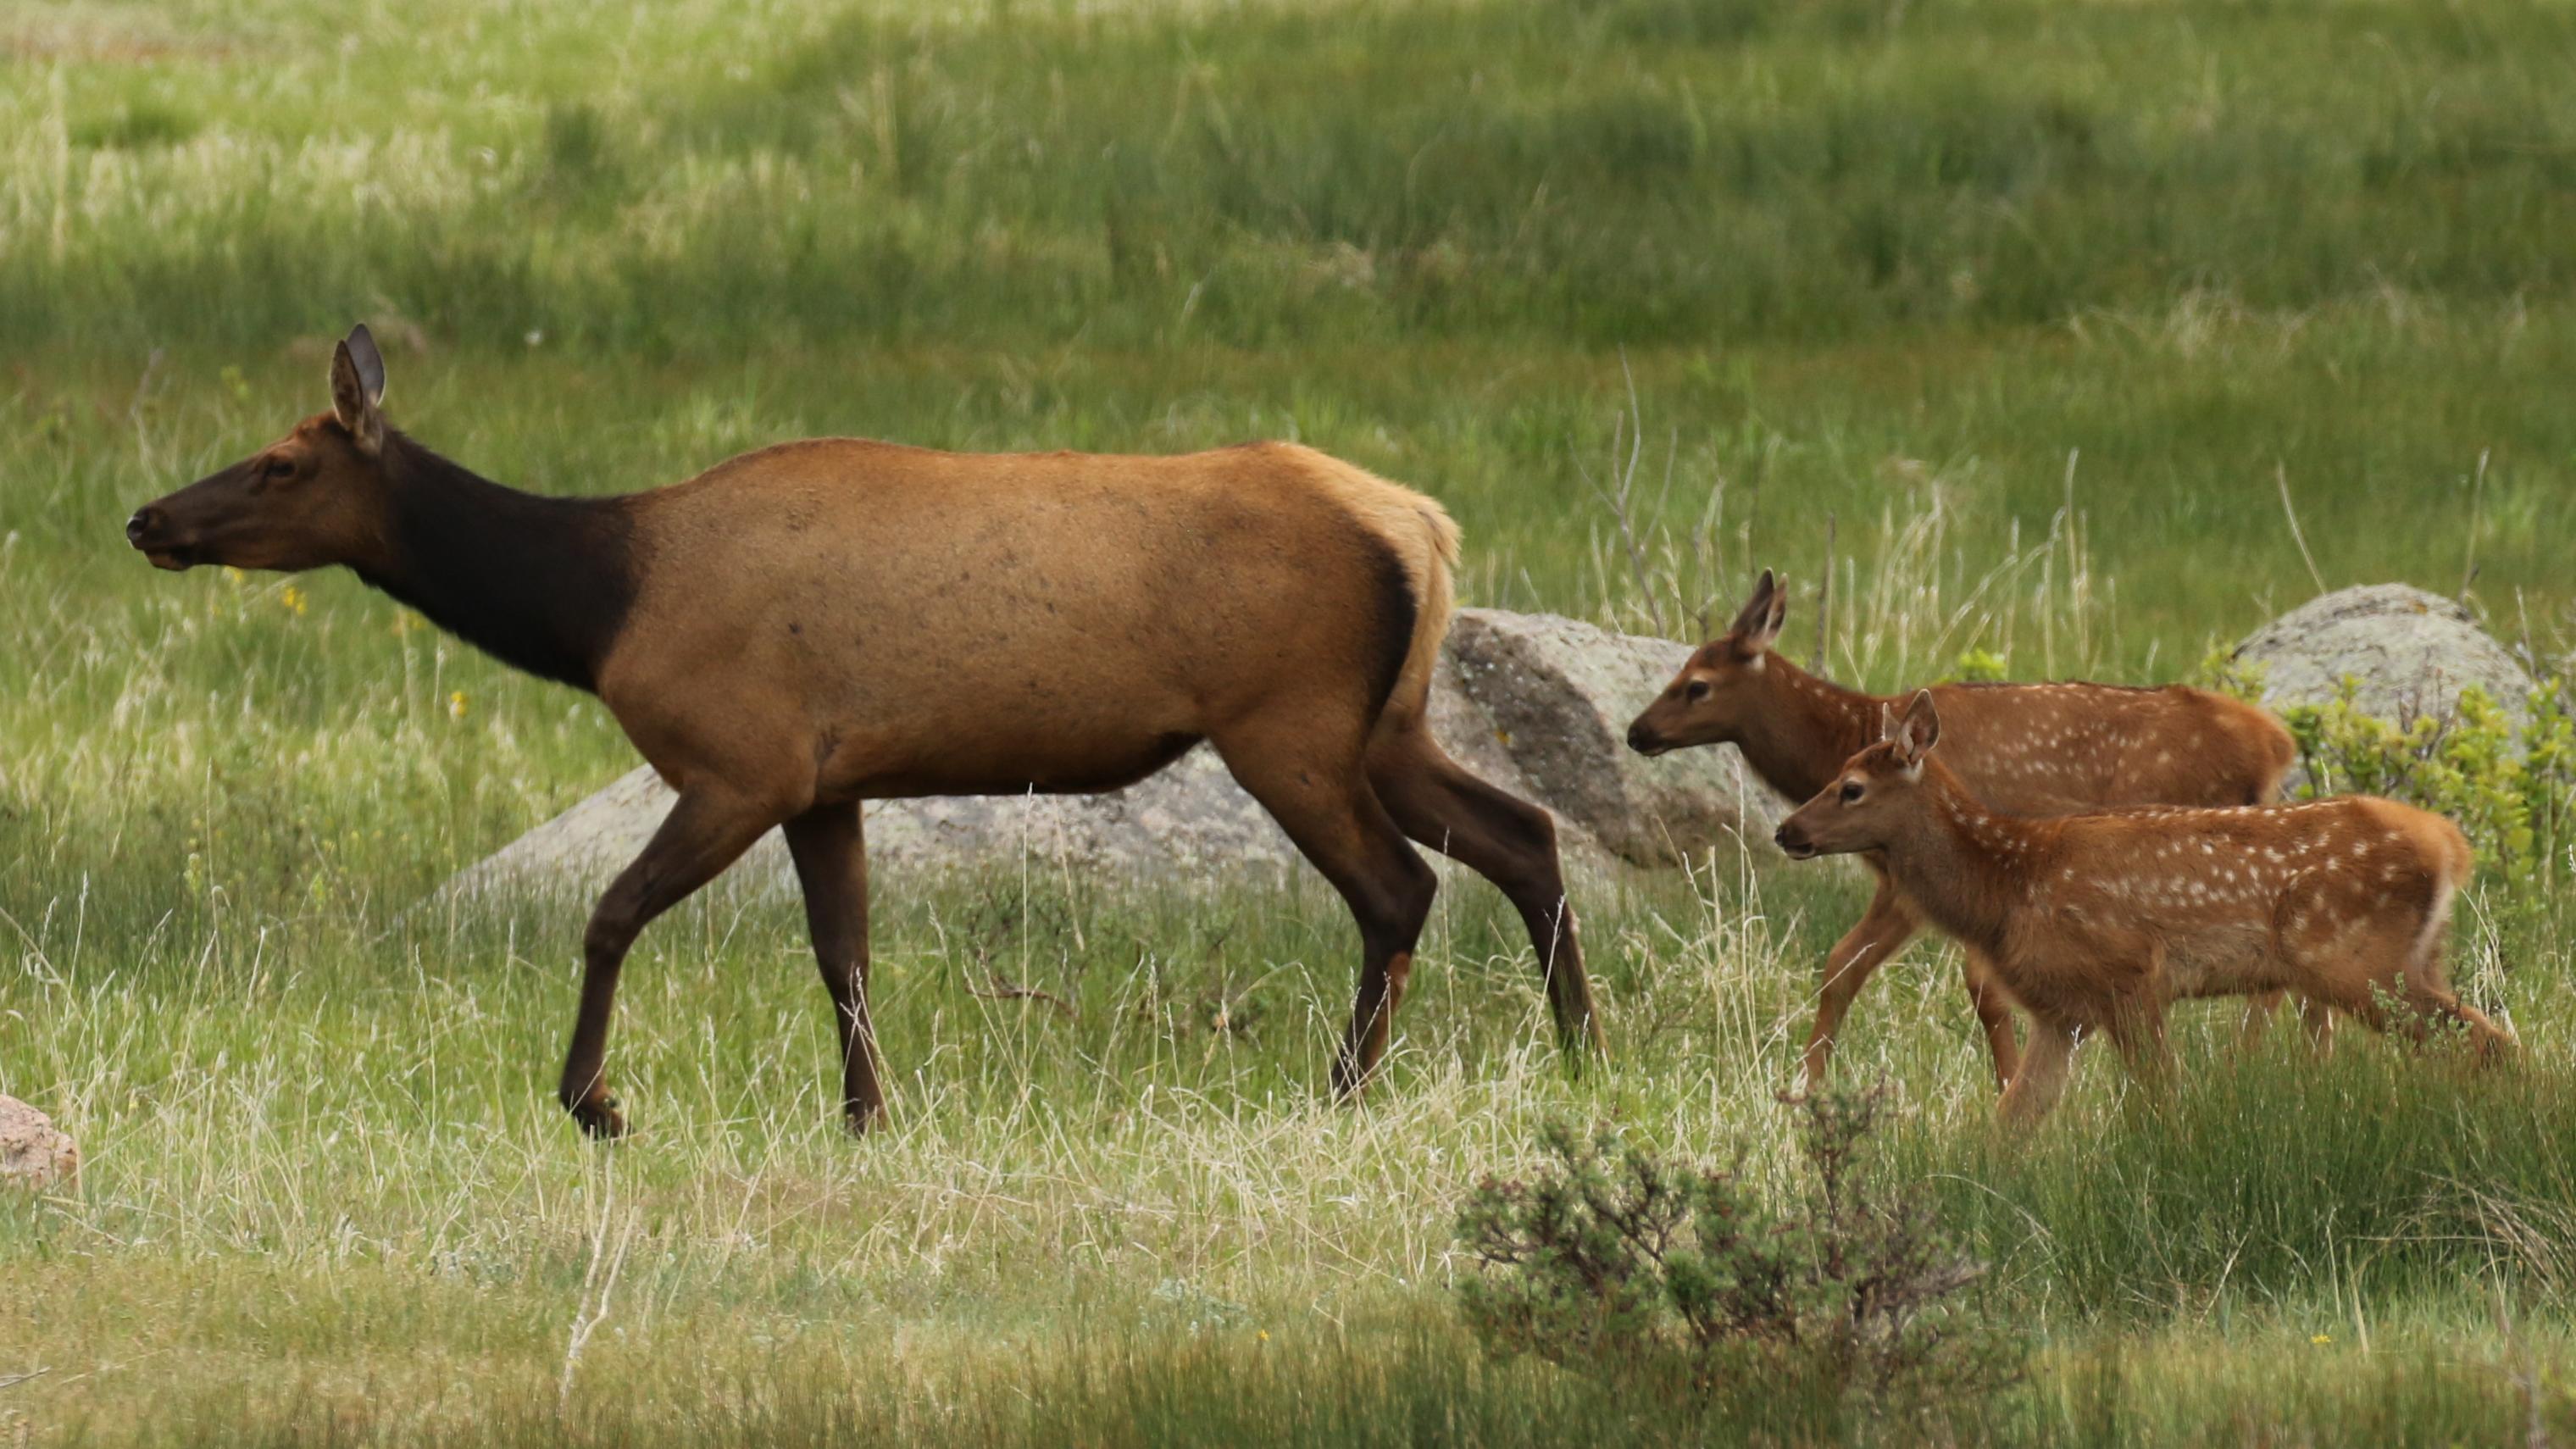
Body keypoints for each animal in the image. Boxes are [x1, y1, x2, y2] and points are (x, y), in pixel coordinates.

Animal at [125, 325, 1602, 1139]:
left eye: (280, 462)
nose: (148, 516)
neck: (597, 606)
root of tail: (1425, 527)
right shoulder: (825, 782)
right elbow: (845, 953)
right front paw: (867, 1113)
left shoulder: (741, 756)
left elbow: (610, 911)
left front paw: (595, 1100)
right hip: (1385, 720)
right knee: (1524, 834)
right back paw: (1584, 1052)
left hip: (1286, 719)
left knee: (1399, 886)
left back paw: (1342, 1088)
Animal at [1625, 570, 2300, 1091]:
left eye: (1696, 685)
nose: (1636, 732)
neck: (1847, 733)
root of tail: (2274, 743)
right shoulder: (1903, 879)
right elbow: (1842, 965)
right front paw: (1805, 1085)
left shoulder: (1928, 875)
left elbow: (1965, 984)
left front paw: (2005, 1080)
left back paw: (2243, 1062)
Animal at [1772, 691, 2513, 1125]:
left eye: (1851, 787)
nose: (1786, 831)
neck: (2009, 888)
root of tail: (2450, 844)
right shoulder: (2062, 1012)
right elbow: (2011, 1123)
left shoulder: (2129, 977)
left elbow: (2163, 1100)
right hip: (2417, 959)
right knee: (2479, 1039)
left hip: (2355, 960)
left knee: (2489, 1040)